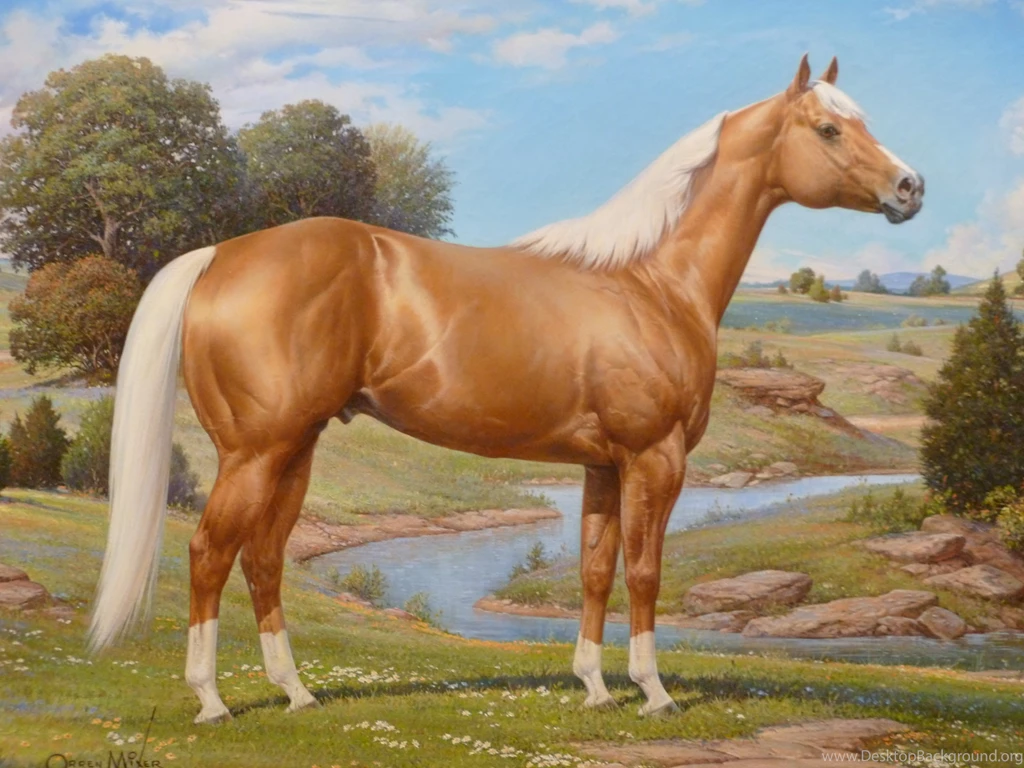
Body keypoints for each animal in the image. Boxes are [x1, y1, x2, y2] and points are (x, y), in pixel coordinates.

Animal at [88, 54, 923, 724]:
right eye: (827, 129)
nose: (910, 187)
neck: (650, 283)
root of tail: (220, 255)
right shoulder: (655, 459)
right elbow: (645, 572)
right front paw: (652, 692)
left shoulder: (602, 466)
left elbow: (594, 571)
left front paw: (594, 687)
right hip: (256, 453)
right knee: (207, 553)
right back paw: (212, 701)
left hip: (294, 450)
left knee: (262, 559)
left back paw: (297, 693)